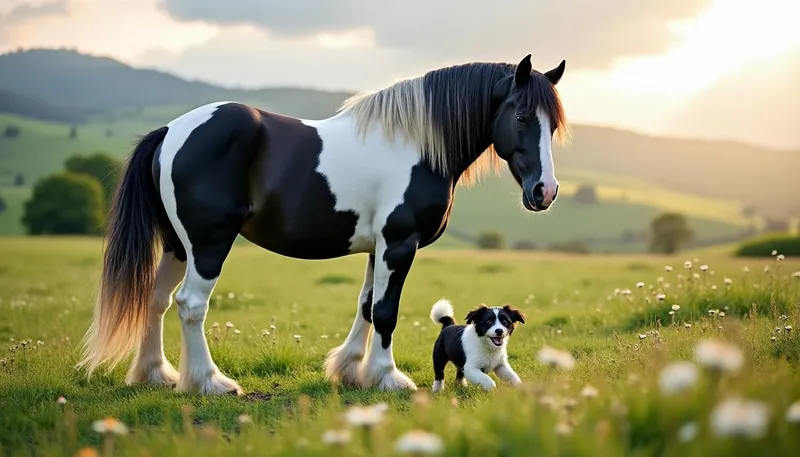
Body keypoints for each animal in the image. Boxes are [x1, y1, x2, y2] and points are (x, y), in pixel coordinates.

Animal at [76, 54, 569, 395]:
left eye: (553, 126)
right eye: (521, 117)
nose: (544, 192)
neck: (417, 144)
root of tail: (171, 132)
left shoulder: (378, 247)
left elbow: (367, 307)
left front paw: (351, 371)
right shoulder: (399, 242)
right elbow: (386, 312)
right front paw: (388, 378)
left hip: (178, 245)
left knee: (156, 299)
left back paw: (155, 375)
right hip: (208, 243)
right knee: (190, 304)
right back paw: (208, 382)